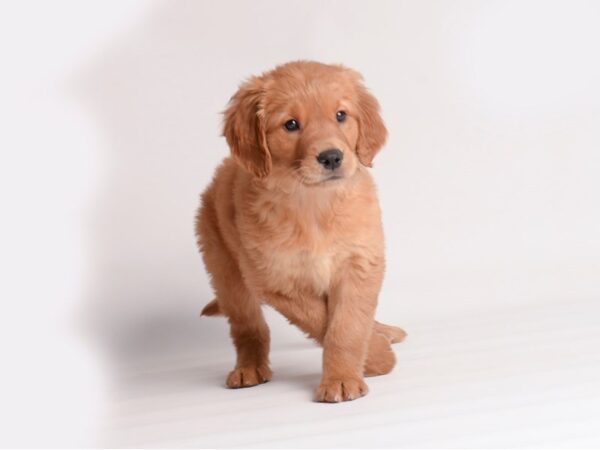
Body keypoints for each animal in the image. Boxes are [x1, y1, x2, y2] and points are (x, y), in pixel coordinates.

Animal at [195, 60, 406, 404]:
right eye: (291, 124)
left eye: (341, 115)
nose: (332, 156)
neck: (314, 204)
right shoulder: (276, 279)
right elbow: (320, 320)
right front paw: (374, 359)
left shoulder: (361, 262)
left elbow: (347, 324)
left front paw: (348, 372)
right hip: (225, 270)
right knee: (248, 327)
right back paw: (249, 368)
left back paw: (383, 329)